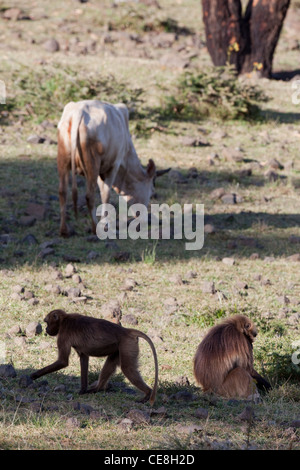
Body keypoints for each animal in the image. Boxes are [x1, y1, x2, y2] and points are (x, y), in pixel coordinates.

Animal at [56, 100, 164, 237]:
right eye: (152, 191)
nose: (144, 220)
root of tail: (79, 112)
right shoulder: (113, 166)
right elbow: (106, 194)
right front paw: (104, 224)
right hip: (93, 164)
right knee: (89, 196)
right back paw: (94, 228)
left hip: (63, 160)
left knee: (62, 191)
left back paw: (64, 230)